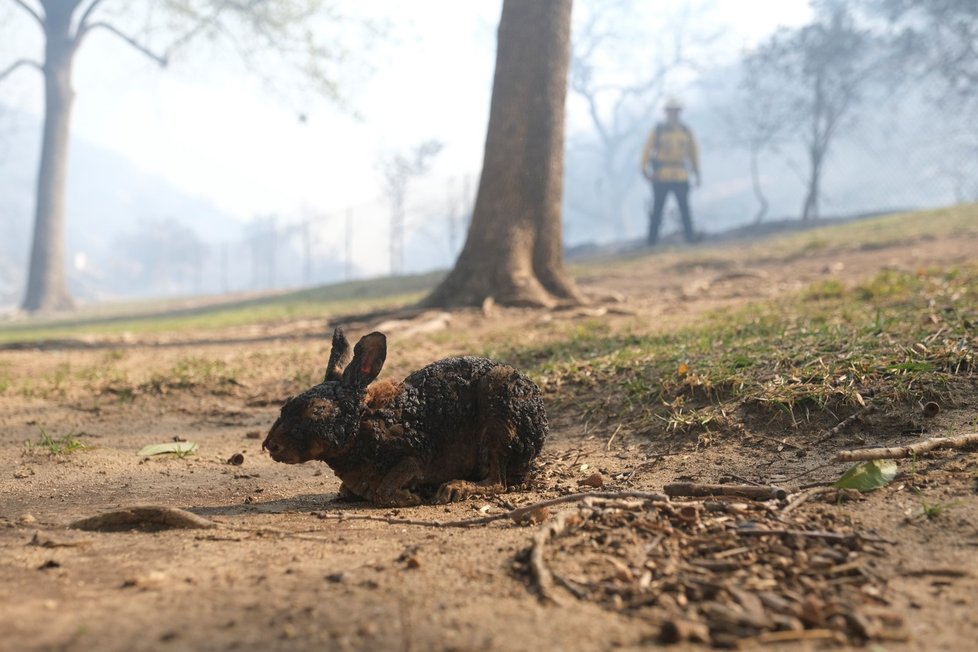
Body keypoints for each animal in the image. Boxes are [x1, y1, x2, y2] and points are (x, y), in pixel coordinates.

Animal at [260, 328, 548, 506]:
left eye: (318, 409)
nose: (270, 445)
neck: (360, 424)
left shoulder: (414, 455)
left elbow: (384, 490)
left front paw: (411, 498)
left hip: (500, 412)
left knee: (498, 480)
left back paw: (455, 488)